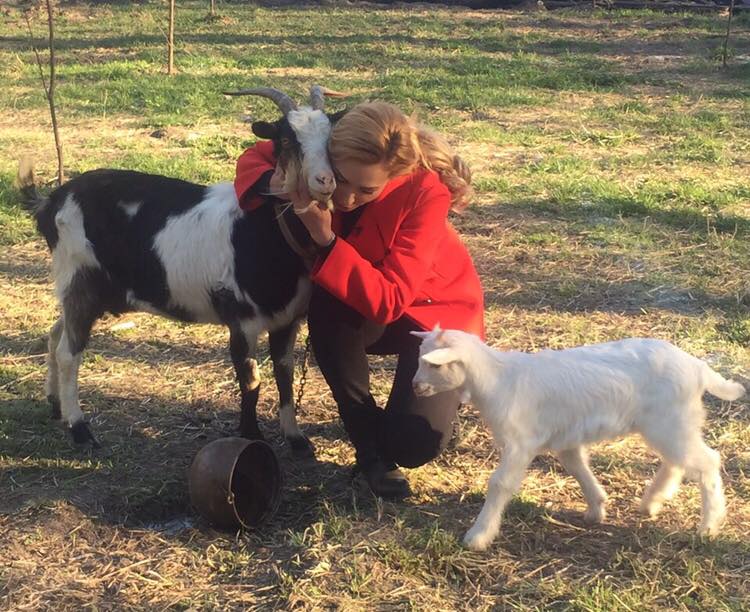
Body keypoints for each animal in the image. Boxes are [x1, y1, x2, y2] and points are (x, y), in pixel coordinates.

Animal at [18, 86, 344, 456]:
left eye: (330, 137)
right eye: (287, 139)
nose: (325, 181)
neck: (261, 227)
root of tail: (51, 201)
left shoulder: (287, 320)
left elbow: (284, 374)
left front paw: (296, 439)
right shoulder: (241, 319)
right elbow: (251, 381)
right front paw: (251, 437)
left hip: (83, 288)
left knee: (55, 332)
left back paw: (54, 403)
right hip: (80, 278)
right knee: (68, 352)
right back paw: (80, 428)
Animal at [411, 326, 745, 551]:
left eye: (433, 364)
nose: (414, 386)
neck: (498, 379)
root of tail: (698, 368)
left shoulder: (520, 442)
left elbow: (500, 484)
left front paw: (478, 536)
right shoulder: (566, 436)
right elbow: (577, 467)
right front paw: (597, 507)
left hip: (670, 421)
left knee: (706, 461)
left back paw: (708, 526)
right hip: (669, 423)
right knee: (677, 461)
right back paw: (652, 501)